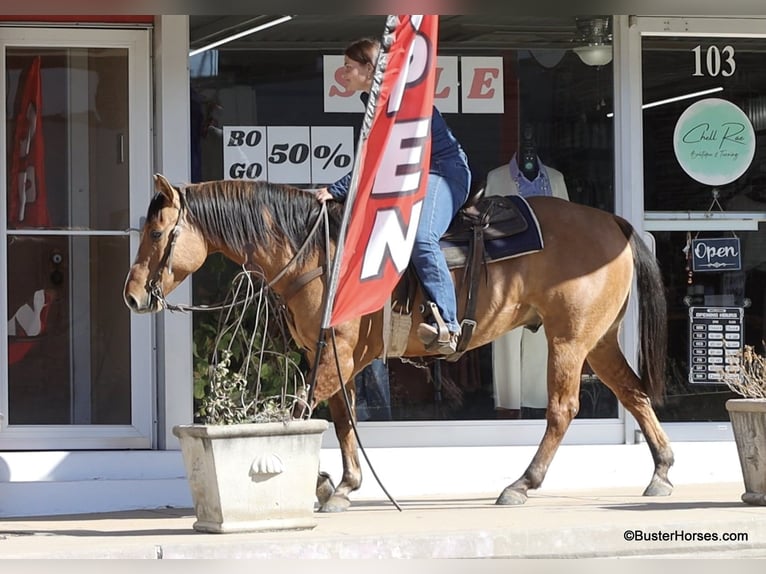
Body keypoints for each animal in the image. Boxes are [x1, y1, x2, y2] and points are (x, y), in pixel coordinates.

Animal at [124, 174, 674, 512]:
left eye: (157, 233)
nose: (132, 296)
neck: (320, 252)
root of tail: (614, 223)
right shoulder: (332, 353)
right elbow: (340, 417)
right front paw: (344, 485)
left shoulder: (339, 354)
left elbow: (301, 409)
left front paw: (314, 479)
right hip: (597, 341)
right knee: (634, 393)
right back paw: (662, 472)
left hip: (569, 341)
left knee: (562, 409)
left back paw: (522, 484)